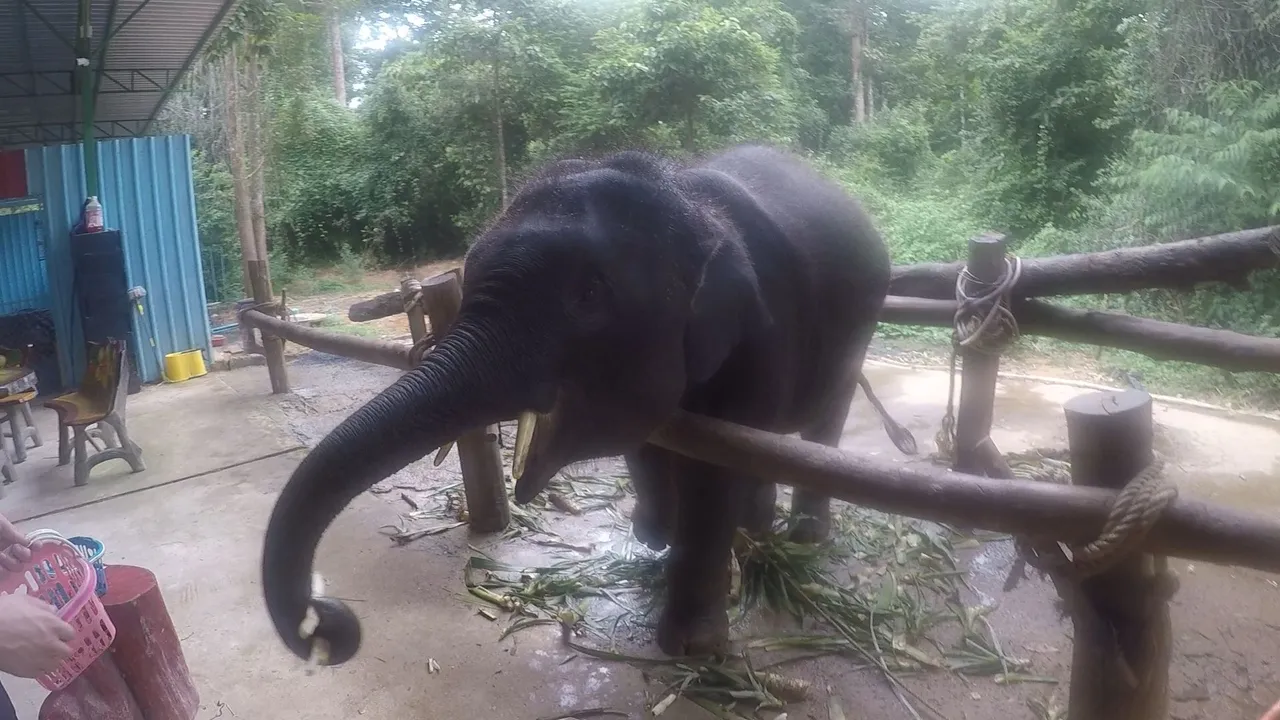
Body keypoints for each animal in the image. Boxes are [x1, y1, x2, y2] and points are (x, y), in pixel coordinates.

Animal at [259, 142, 901, 666]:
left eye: (589, 294)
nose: (329, 624)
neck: (687, 197)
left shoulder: (759, 338)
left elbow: (713, 468)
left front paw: (693, 650)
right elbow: (651, 437)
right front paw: (654, 537)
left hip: (860, 323)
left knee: (822, 423)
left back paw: (802, 537)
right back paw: (758, 526)